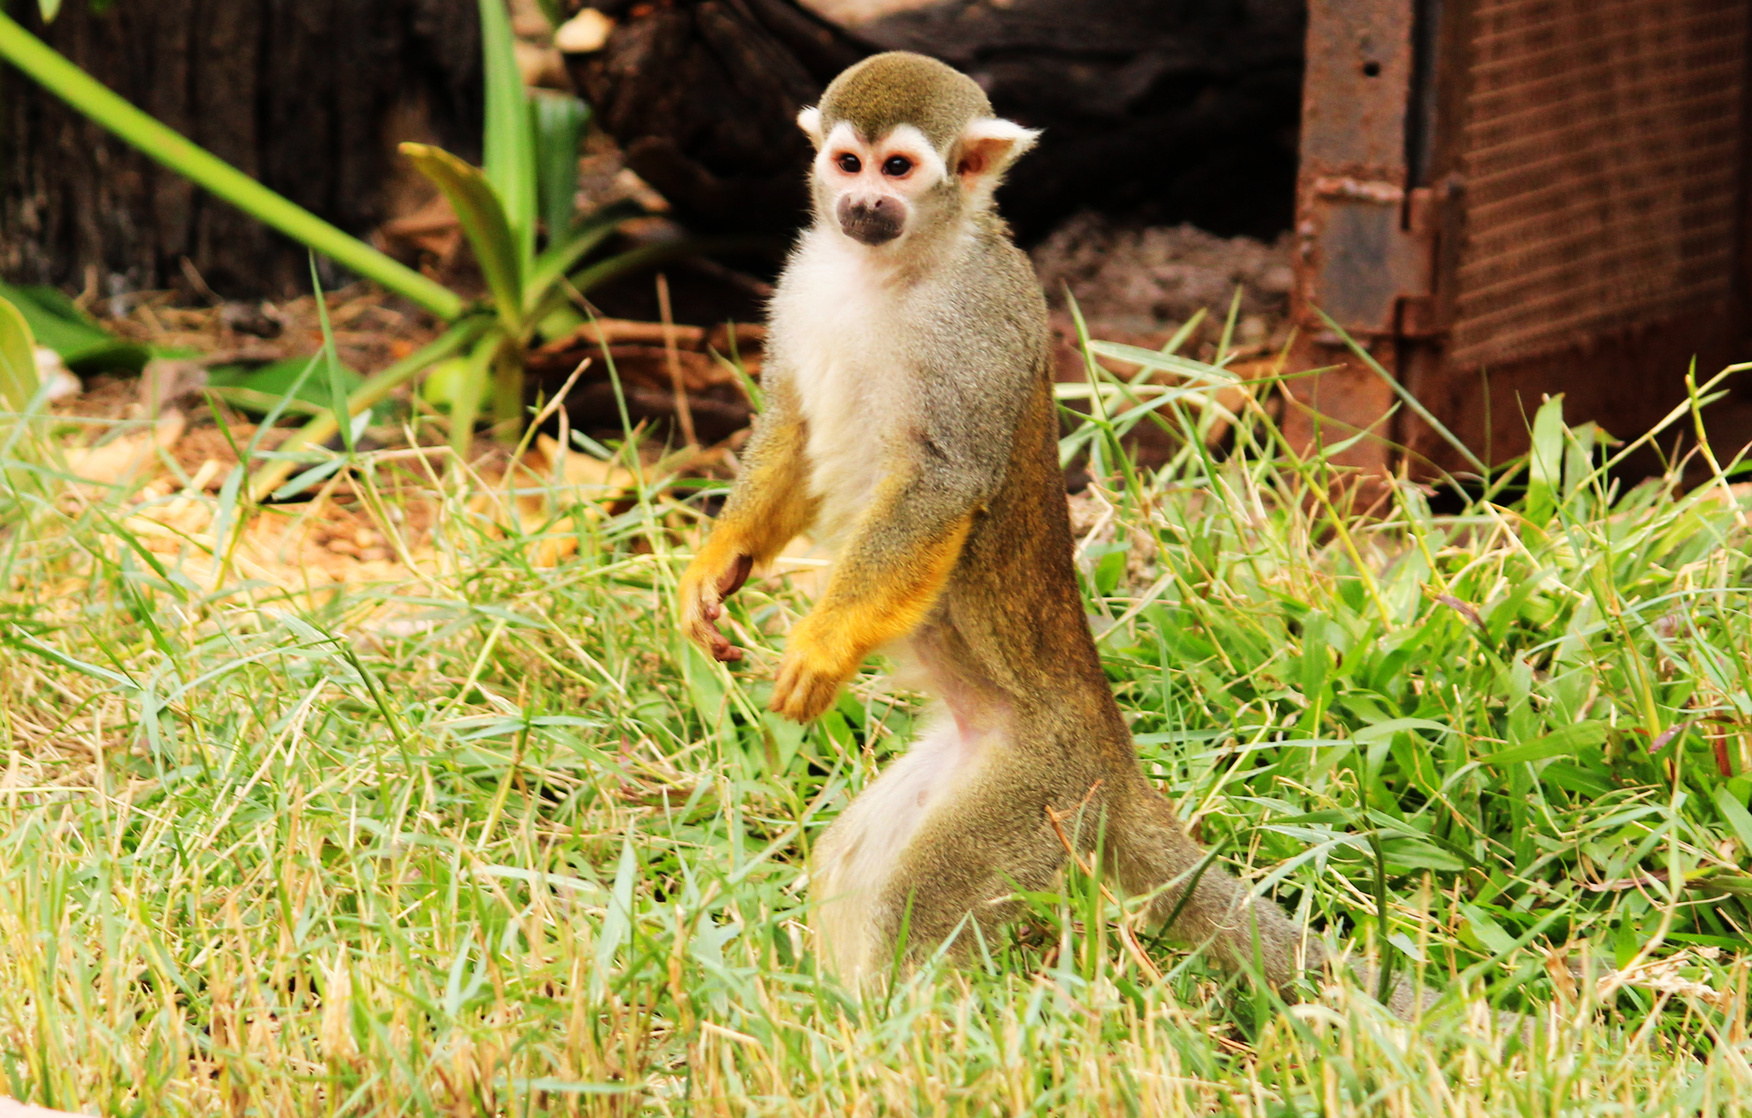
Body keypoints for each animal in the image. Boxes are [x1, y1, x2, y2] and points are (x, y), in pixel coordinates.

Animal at [677, 51, 1411, 1014]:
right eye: (847, 162)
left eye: (899, 169)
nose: (861, 204)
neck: (895, 268)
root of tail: (1114, 758)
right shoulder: (803, 283)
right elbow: (790, 428)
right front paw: (715, 568)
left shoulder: (977, 327)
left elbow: (945, 478)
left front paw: (823, 644)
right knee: (852, 862)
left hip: (1036, 800)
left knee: (919, 902)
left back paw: (888, 1025)